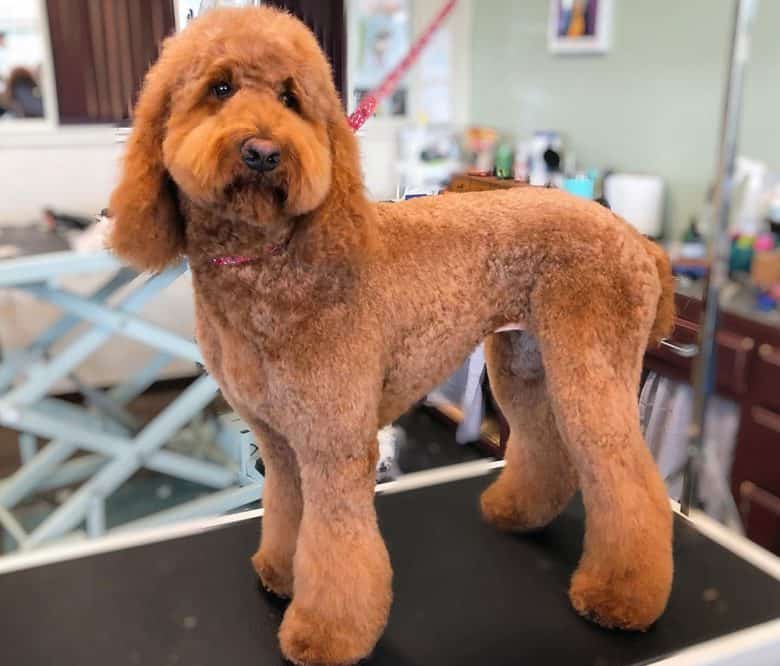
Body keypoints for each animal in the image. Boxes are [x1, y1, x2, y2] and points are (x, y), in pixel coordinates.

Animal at [109, 6, 676, 664]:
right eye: (219, 88)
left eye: (291, 97)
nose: (263, 152)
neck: (272, 260)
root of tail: (636, 240)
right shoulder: (278, 439)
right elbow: (286, 509)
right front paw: (281, 573)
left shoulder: (335, 442)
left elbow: (337, 545)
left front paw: (325, 632)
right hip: (524, 363)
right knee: (546, 446)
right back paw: (517, 512)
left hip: (591, 366)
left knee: (631, 481)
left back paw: (621, 596)